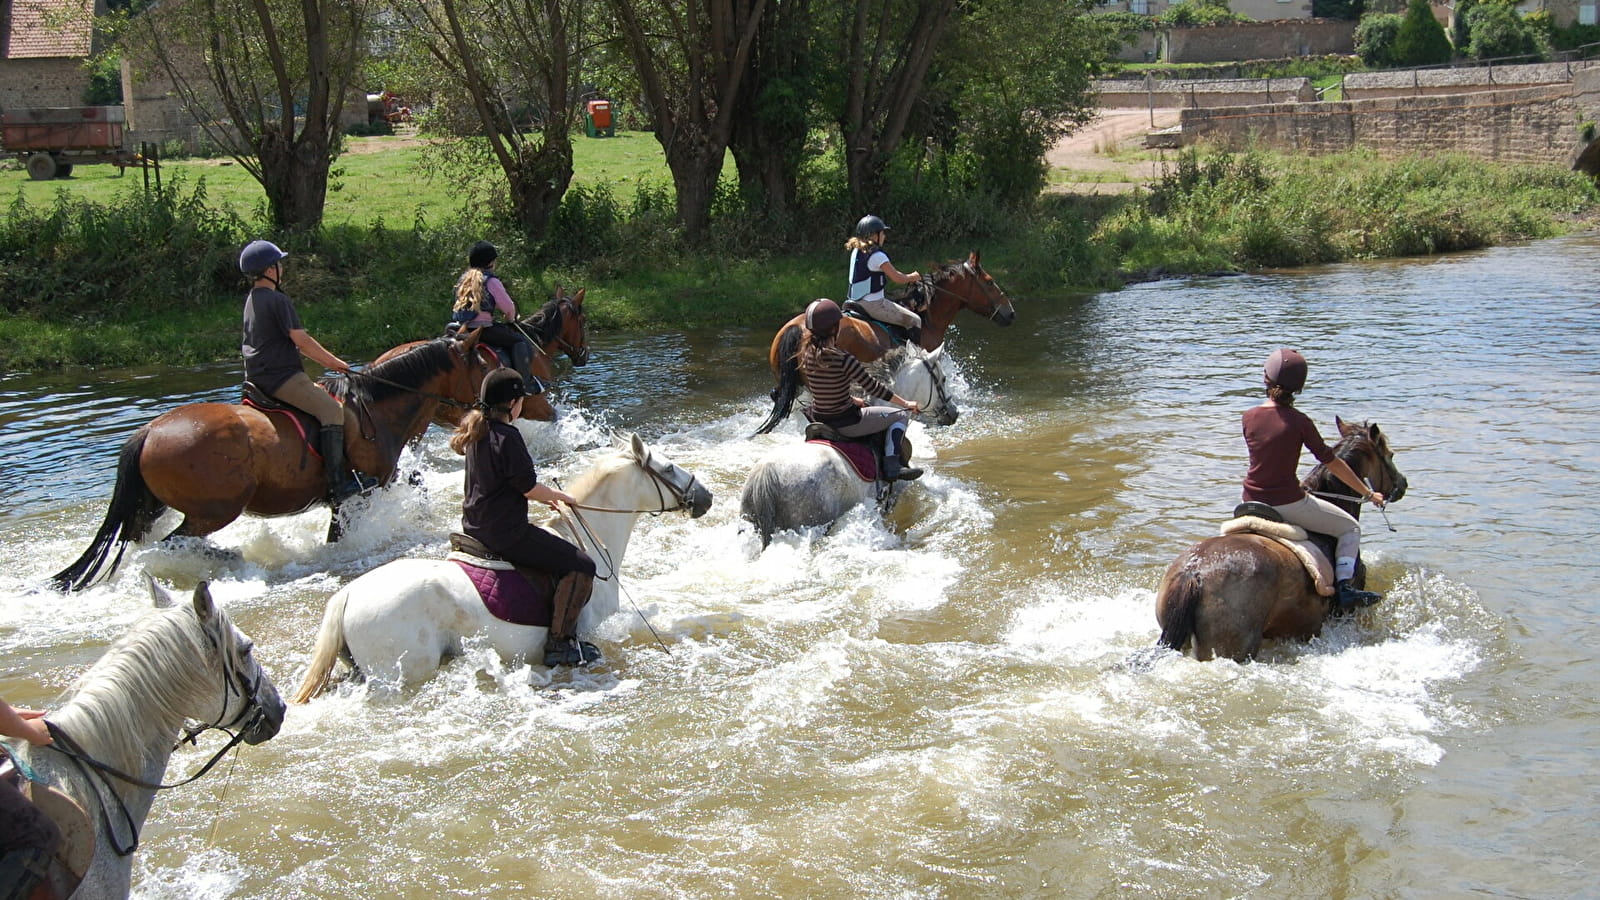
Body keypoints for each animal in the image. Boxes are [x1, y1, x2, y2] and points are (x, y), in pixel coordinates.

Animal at [51, 333, 492, 592]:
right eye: (483, 366)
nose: (485, 409)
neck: (376, 406)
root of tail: (147, 431)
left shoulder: (360, 491)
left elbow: (415, 487)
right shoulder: (359, 493)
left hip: (157, 506)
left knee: (144, 540)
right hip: (215, 510)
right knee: (175, 542)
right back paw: (231, 559)